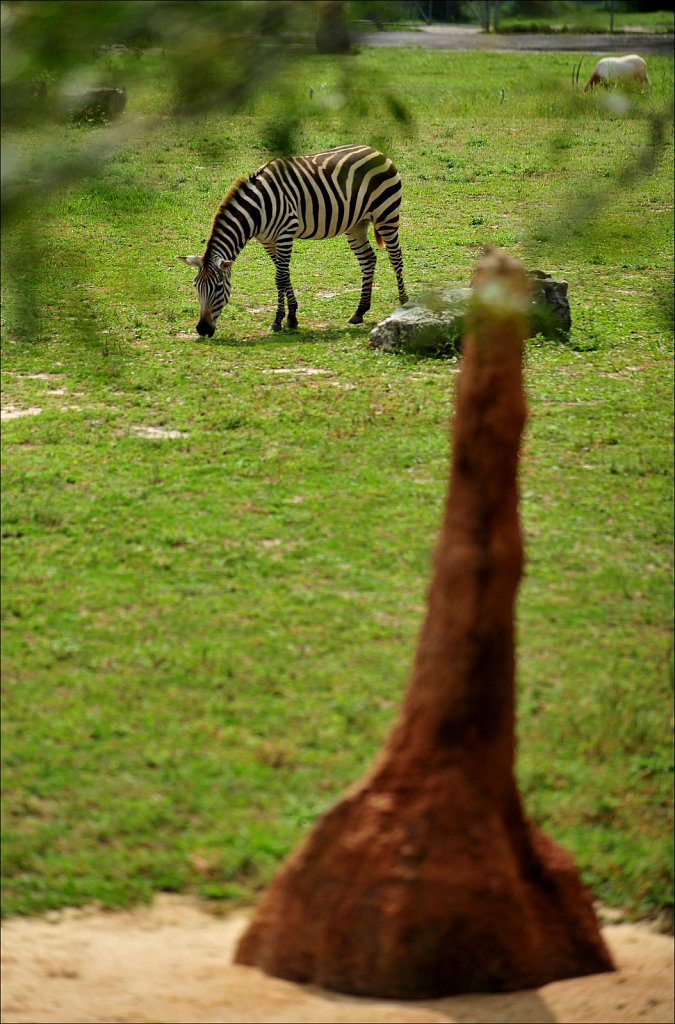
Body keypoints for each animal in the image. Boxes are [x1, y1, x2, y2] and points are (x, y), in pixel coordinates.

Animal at [179, 142, 409, 335]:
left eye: (218, 288)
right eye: (196, 286)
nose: (202, 329)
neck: (258, 210)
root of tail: (377, 151)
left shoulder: (285, 233)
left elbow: (280, 277)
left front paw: (278, 320)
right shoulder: (267, 241)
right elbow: (284, 274)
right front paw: (291, 317)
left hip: (386, 214)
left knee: (396, 257)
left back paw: (404, 304)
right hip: (356, 224)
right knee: (368, 259)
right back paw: (359, 311)